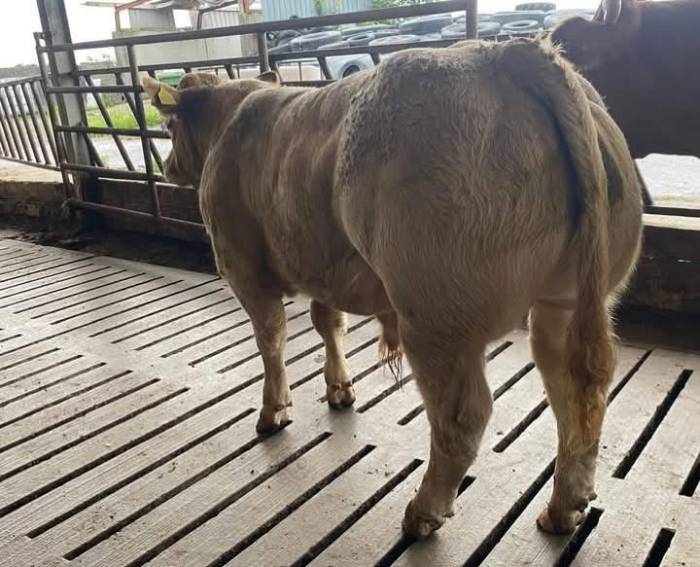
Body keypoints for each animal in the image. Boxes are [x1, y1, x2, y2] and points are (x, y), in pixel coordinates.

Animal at [143, 38, 642, 539]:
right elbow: (329, 322)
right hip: (564, 301)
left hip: (435, 313)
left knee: (463, 416)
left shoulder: (242, 266)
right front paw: (339, 388)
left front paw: (273, 411)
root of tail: (504, 54)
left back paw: (423, 512)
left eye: (168, 125)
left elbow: (271, 340)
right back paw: (563, 507)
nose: (167, 167)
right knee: (575, 391)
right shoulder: (321, 261)